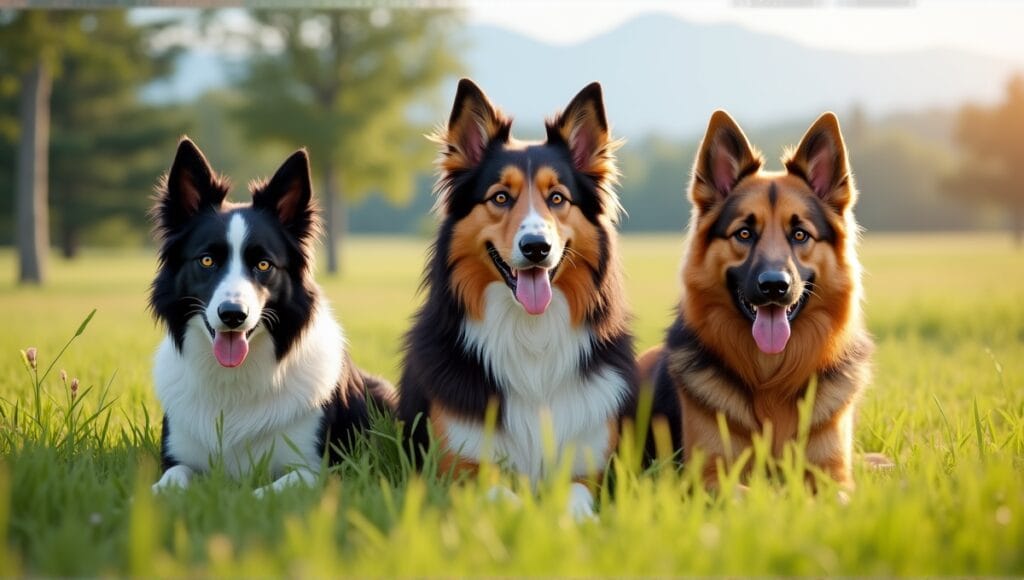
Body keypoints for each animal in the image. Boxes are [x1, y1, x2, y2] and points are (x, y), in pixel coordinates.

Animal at [149, 138, 393, 498]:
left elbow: (271, 489)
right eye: (206, 260)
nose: (233, 315)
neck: (234, 384)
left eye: (263, 265)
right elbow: (170, 479)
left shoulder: (319, 469)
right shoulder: (178, 458)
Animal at [395, 79, 634, 520]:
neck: (531, 334)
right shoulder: (455, 469)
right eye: (501, 197)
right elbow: (502, 496)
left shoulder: (590, 468)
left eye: (557, 198)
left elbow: (576, 498)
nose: (536, 247)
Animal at [638, 110, 872, 491]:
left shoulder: (832, 476)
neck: (771, 382)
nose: (774, 286)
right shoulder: (709, 478)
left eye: (800, 235)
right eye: (744, 234)